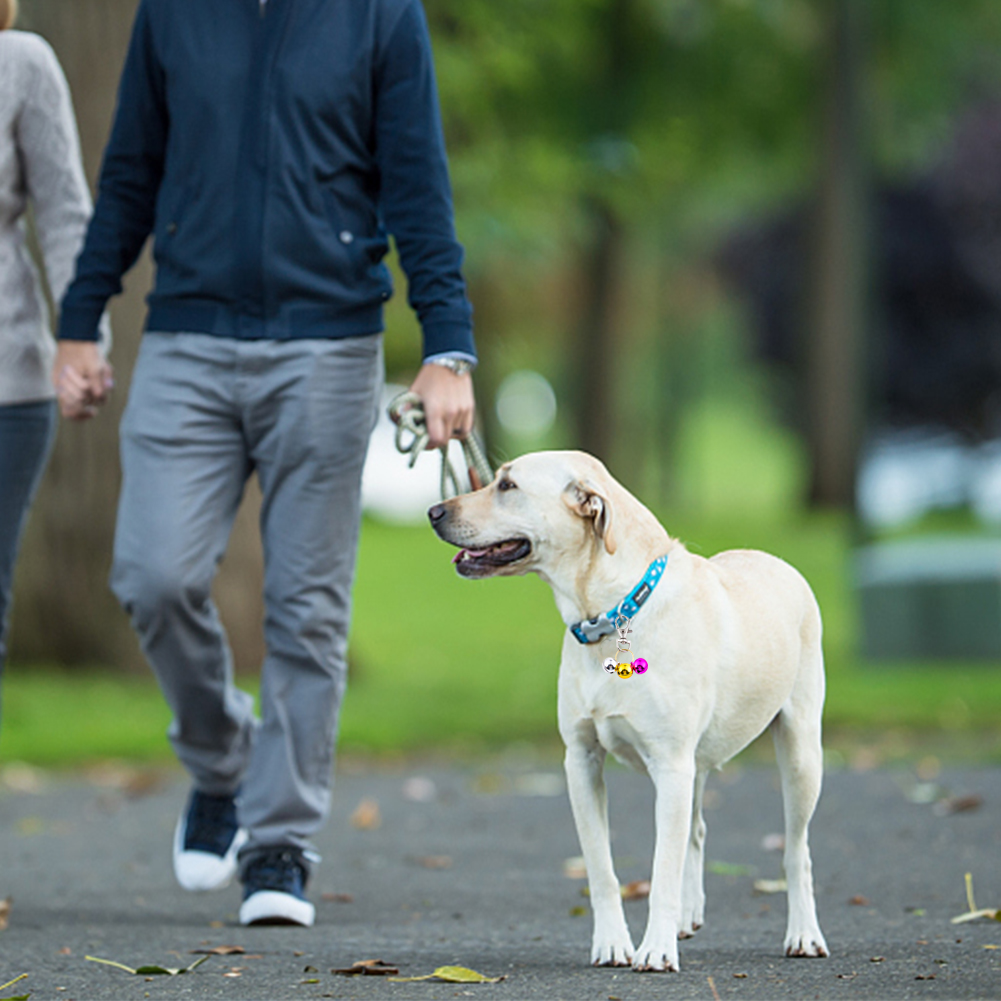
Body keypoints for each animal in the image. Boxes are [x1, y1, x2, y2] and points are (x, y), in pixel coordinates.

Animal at [430, 452, 828, 968]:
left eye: (508, 486)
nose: (433, 511)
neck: (612, 614)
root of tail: (773, 559)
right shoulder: (581, 760)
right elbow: (602, 868)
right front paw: (612, 943)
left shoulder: (671, 764)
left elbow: (662, 869)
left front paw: (654, 949)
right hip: (697, 764)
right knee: (696, 830)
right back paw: (687, 916)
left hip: (799, 752)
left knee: (796, 849)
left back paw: (803, 933)